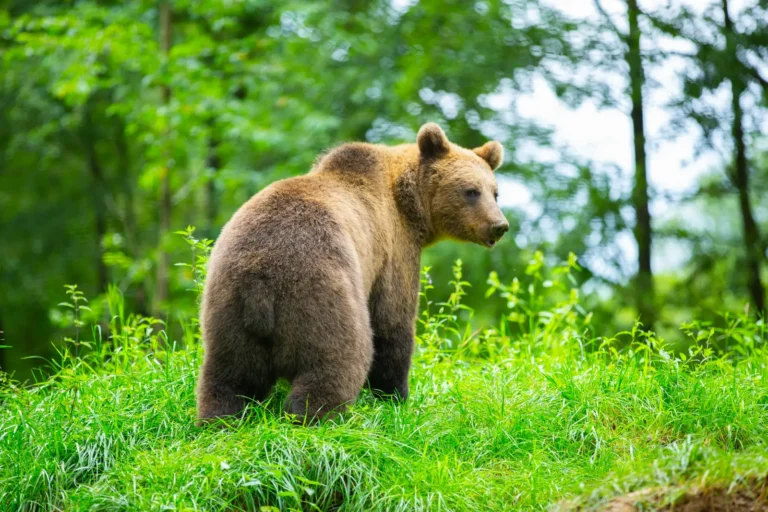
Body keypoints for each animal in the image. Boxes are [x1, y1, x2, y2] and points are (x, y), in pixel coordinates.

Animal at [196, 123, 508, 423]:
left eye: (495, 192)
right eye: (471, 191)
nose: (499, 226)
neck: (409, 206)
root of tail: (260, 277)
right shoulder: (393, 250)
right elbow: (392, 322)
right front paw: (396, 396)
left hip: (228, 305)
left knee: (230, 376)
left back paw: (220, 419)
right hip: (318, 287)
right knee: (340, 355)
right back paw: (318, 417)